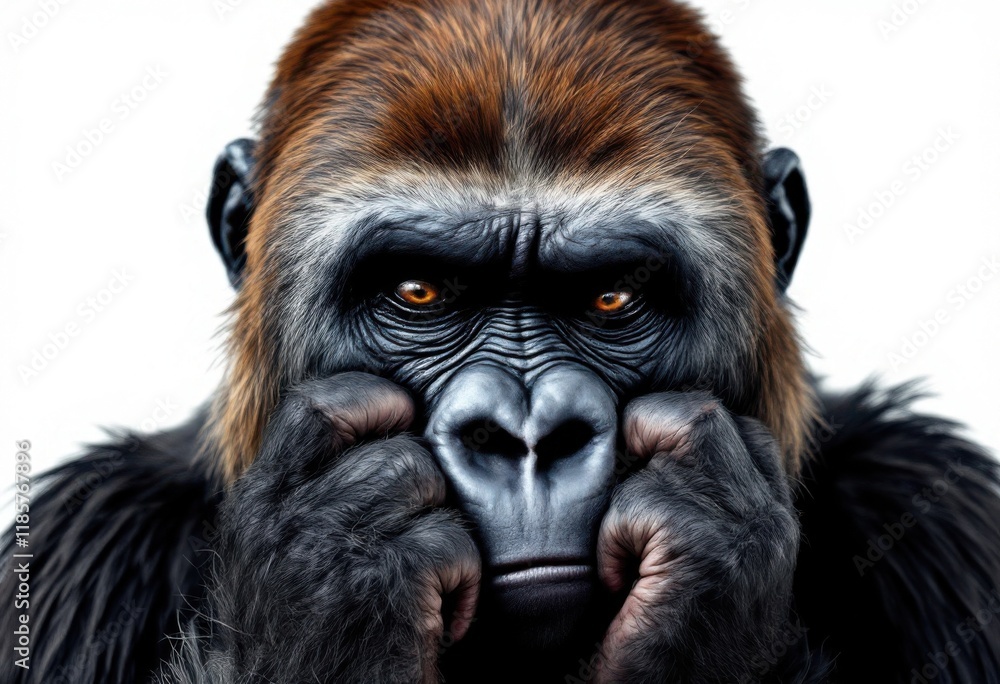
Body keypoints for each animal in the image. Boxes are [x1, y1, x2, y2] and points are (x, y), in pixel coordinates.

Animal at [3, 0, 999, 682]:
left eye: (611, 296)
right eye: (417, 290)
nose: (526, 435)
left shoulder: (943, 500)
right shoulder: (69, 543)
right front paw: (332, 556)